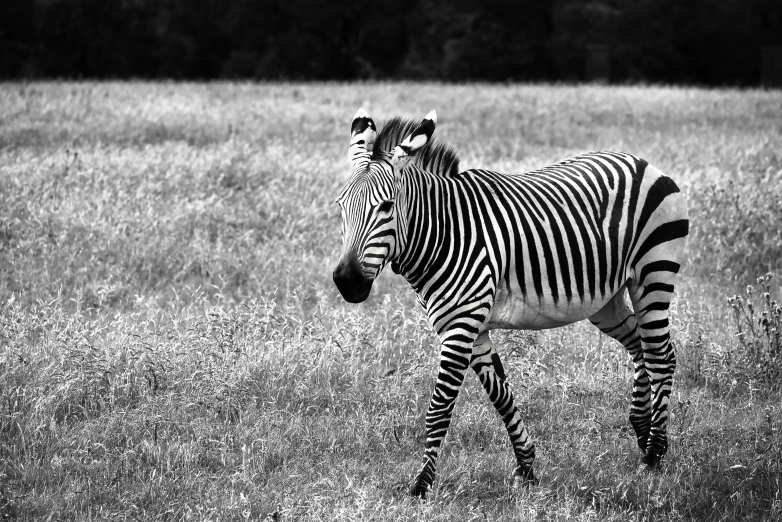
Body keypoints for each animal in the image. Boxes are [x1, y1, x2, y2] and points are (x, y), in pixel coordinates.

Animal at [334, 106, 688, 496]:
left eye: (385, 207)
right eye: (341, 206)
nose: (346, 282)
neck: (444, 233)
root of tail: (642, 162)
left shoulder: (460, 325)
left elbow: (439, 408)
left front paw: (421, 486)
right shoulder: (471, 328)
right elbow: (501, 396)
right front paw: (526, 467)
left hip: (653, 275)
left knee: (661, 357)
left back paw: (654, 454)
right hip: (606, 299)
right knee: (641, 347)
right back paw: (642, 430)